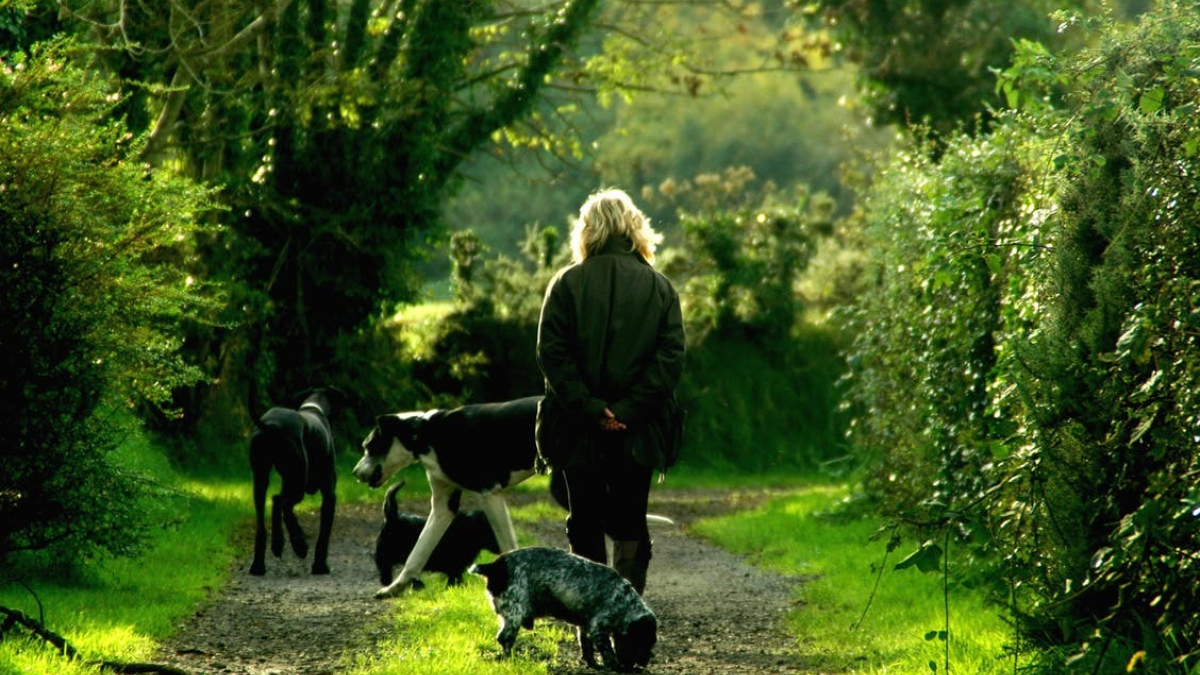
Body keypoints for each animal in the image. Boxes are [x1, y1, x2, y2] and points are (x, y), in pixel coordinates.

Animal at [248, 384, 340, 571]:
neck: (314, 407)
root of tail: (271, 425)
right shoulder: (329, 494)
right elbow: (324, 535)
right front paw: (320, 565)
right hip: (298, 483)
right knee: (280, 503)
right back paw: (297, 544)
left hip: (261, 480)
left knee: (266, 516)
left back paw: (261, 562)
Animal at [350, 393, 540, 593]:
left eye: (369, 446)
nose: (354, 472)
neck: (424, 435)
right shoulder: (443, 508)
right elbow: (417, 553)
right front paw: (395, 587)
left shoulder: (489, 494)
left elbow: (508, 544)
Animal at [468, 547, 657, 667]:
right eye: (644, 642)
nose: (644, 663)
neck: (624, 601)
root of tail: (495, 566)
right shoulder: (598, 626)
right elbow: (607, 650)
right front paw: (614, 666)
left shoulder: (585, 625)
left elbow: (586, 645)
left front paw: (592, 663)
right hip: (514, 614)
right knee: (504, 638)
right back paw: (511, 658)